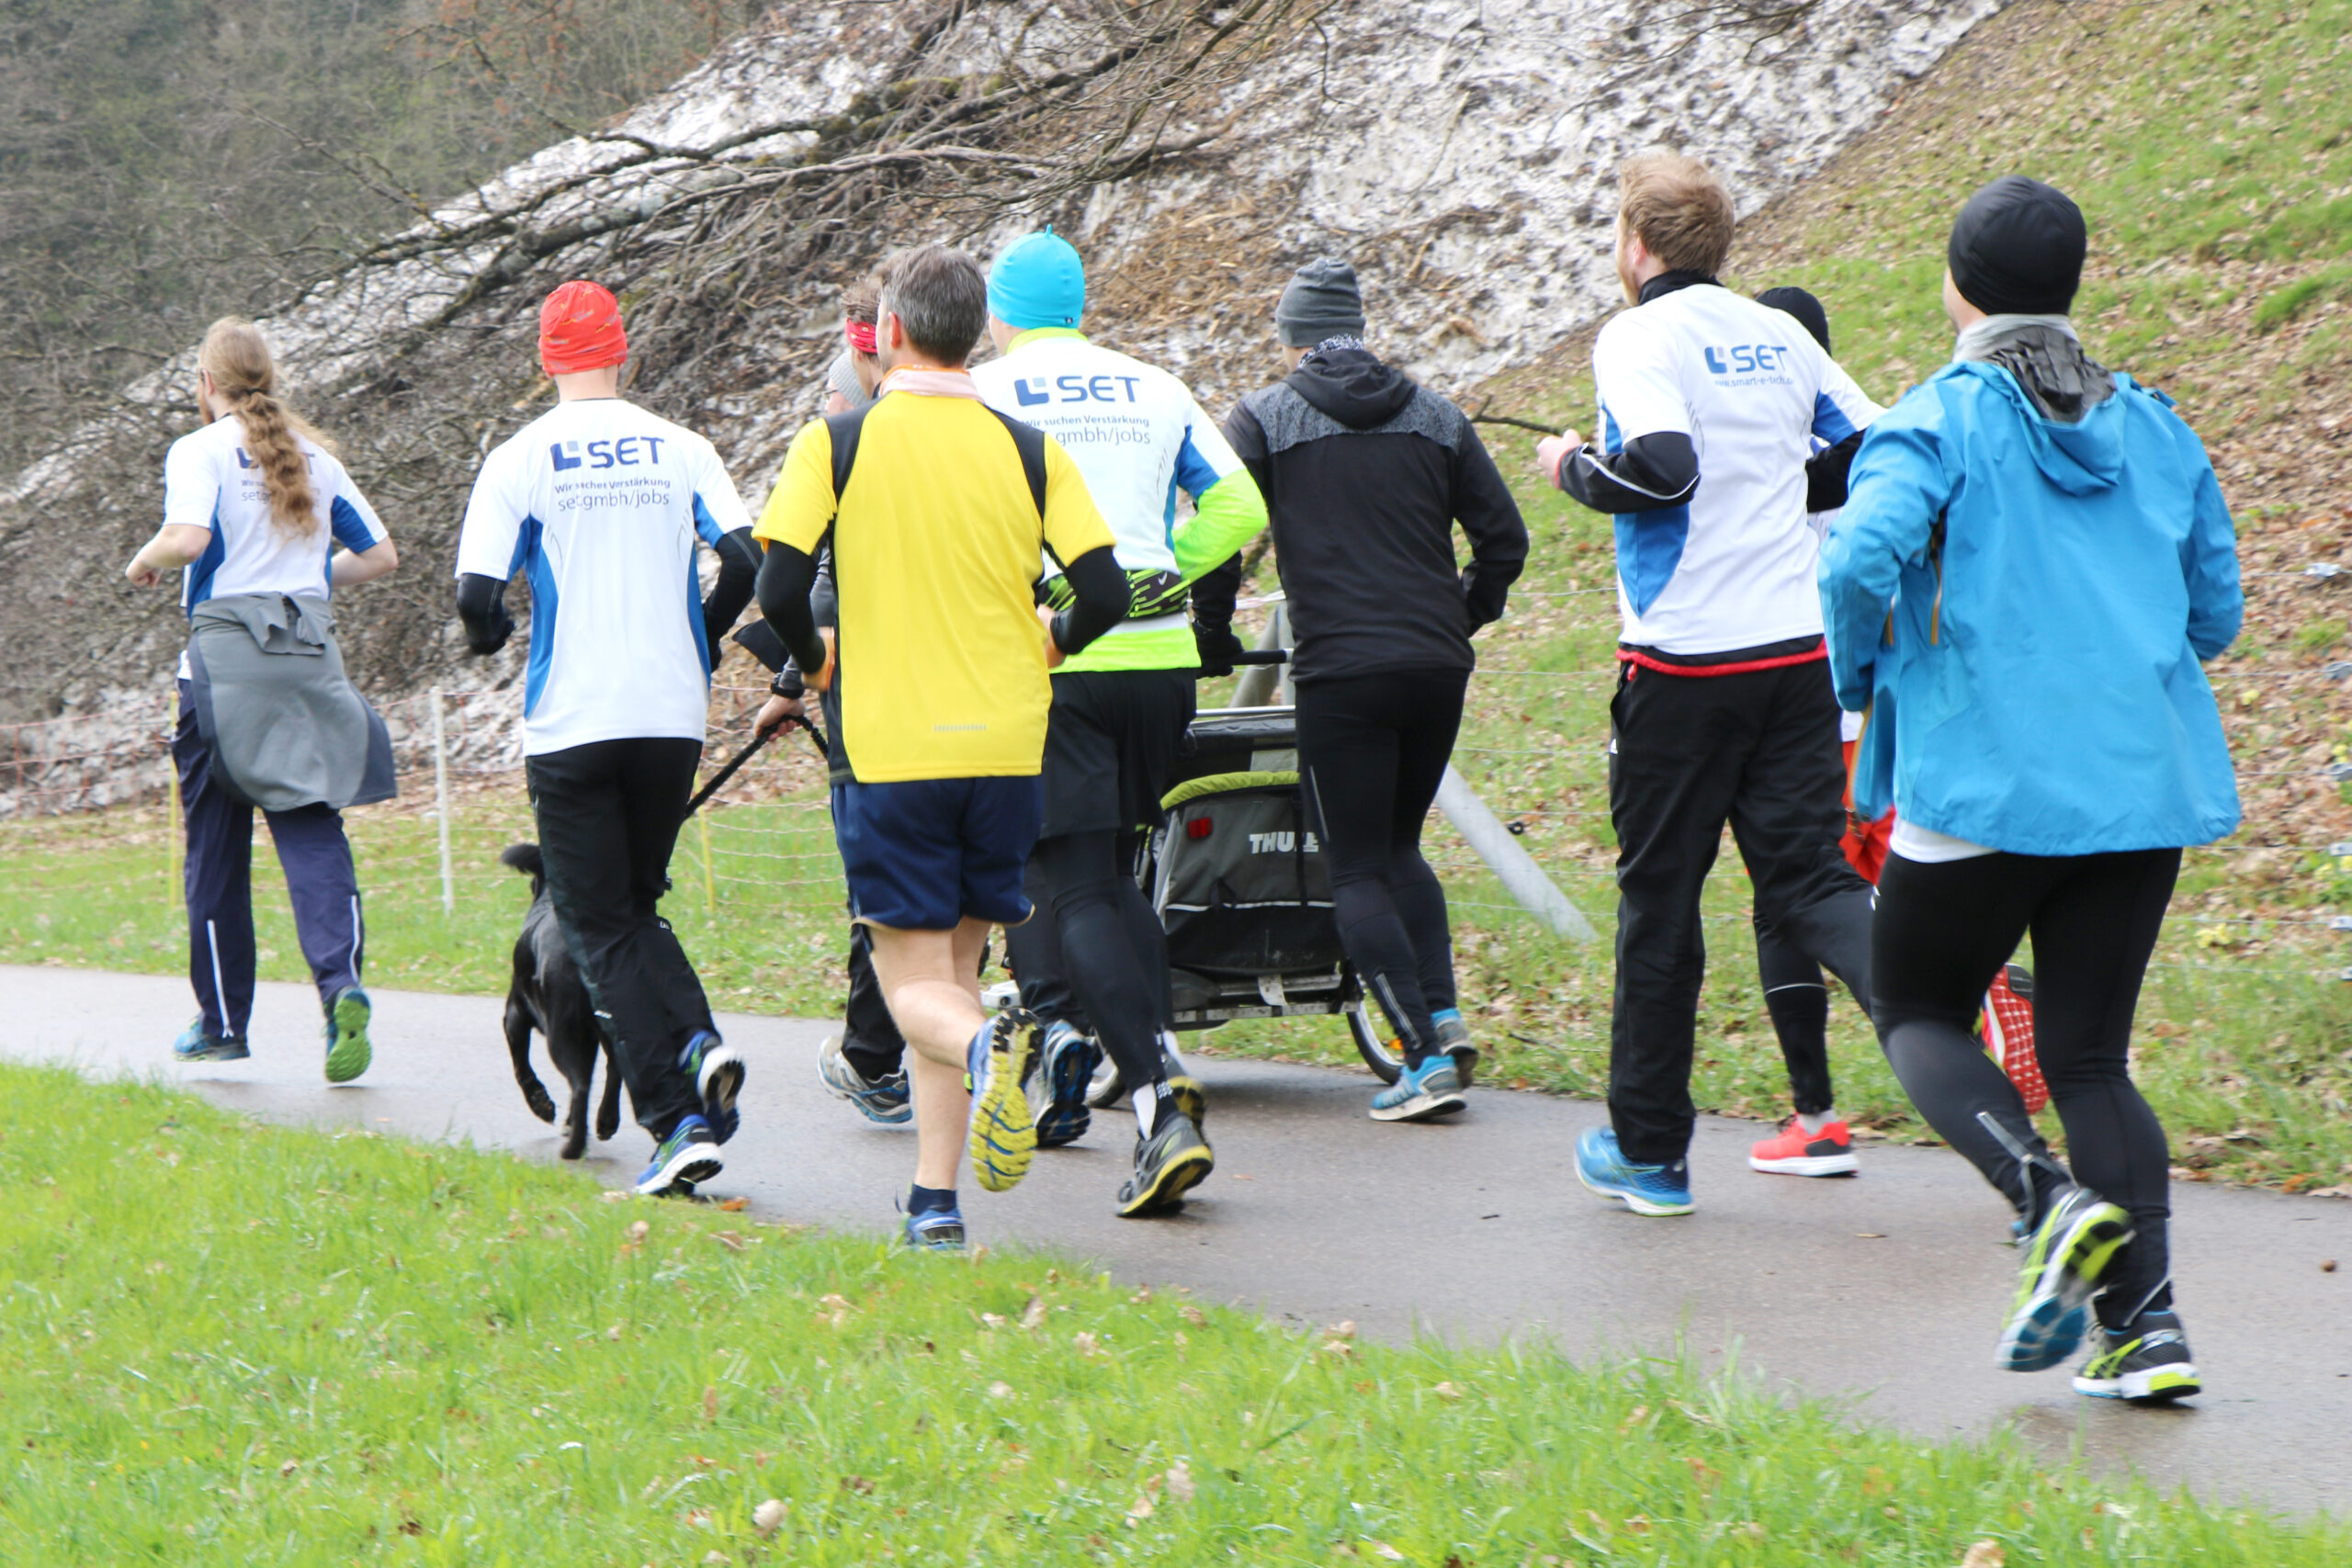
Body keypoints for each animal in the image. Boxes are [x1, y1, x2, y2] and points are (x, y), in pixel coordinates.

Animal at [498, 846, 625, 1166]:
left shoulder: (514, 1016)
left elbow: (521, 1067)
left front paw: (541, 1104)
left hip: (561, 1032)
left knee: (580, 1086)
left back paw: (574, 1147)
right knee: (612, 1069)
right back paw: (605, 1121)